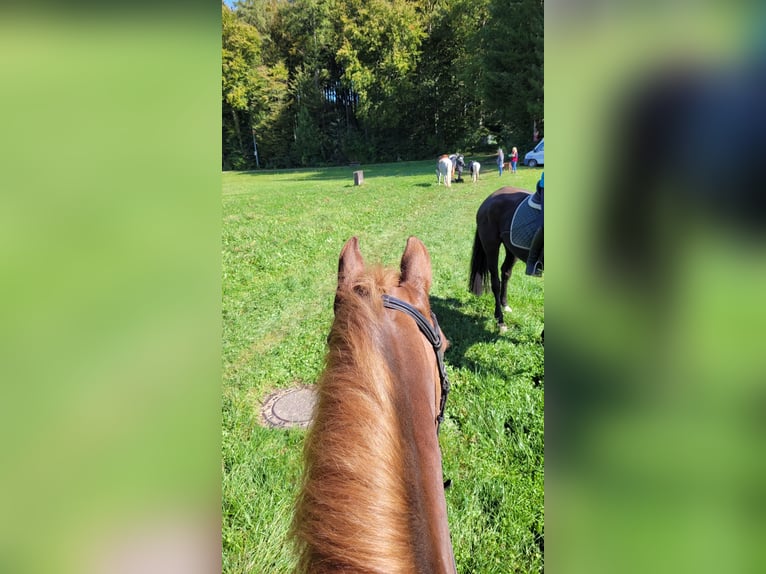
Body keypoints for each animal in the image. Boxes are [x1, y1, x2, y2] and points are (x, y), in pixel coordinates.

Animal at [468, 188, 540, 330]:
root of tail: (491, 197)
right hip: (491, 247)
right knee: (495, 282)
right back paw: (500, 319)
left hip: (511, 249)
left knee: (506, 273)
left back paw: (504, 305)